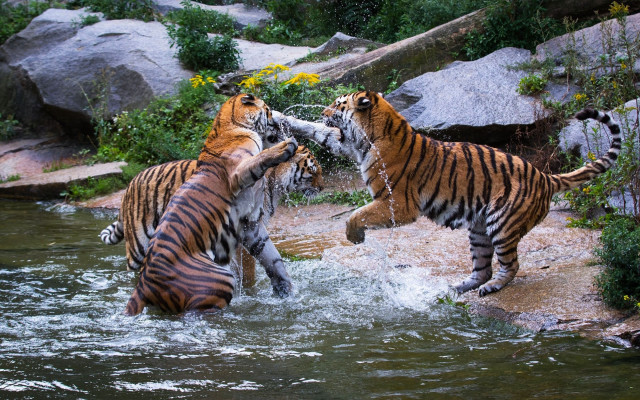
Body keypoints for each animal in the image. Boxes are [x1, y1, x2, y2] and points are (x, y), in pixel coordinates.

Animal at [124, 93, 298, 315]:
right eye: (267, 110)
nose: (280, 120)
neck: (229, 126)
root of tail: (143, 284)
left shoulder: (251, 224)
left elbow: (272, 258)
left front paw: (284, 288)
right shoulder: (237, 173)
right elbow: (260, 157)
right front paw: (286, 146)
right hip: (219, 278)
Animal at [273, 91, 621, 296]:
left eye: (339, 104)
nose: (324, 110)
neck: (370, 137)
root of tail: (545, 177)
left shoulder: (398, 203)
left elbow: (357, 214)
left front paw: (354, 236)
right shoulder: (348, 145)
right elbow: (318, 132)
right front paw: (281, 118)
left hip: (502, 223)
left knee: (510, 265)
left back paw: (492, 288)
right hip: (479, 229)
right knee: (482, 266)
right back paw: (458, 286)